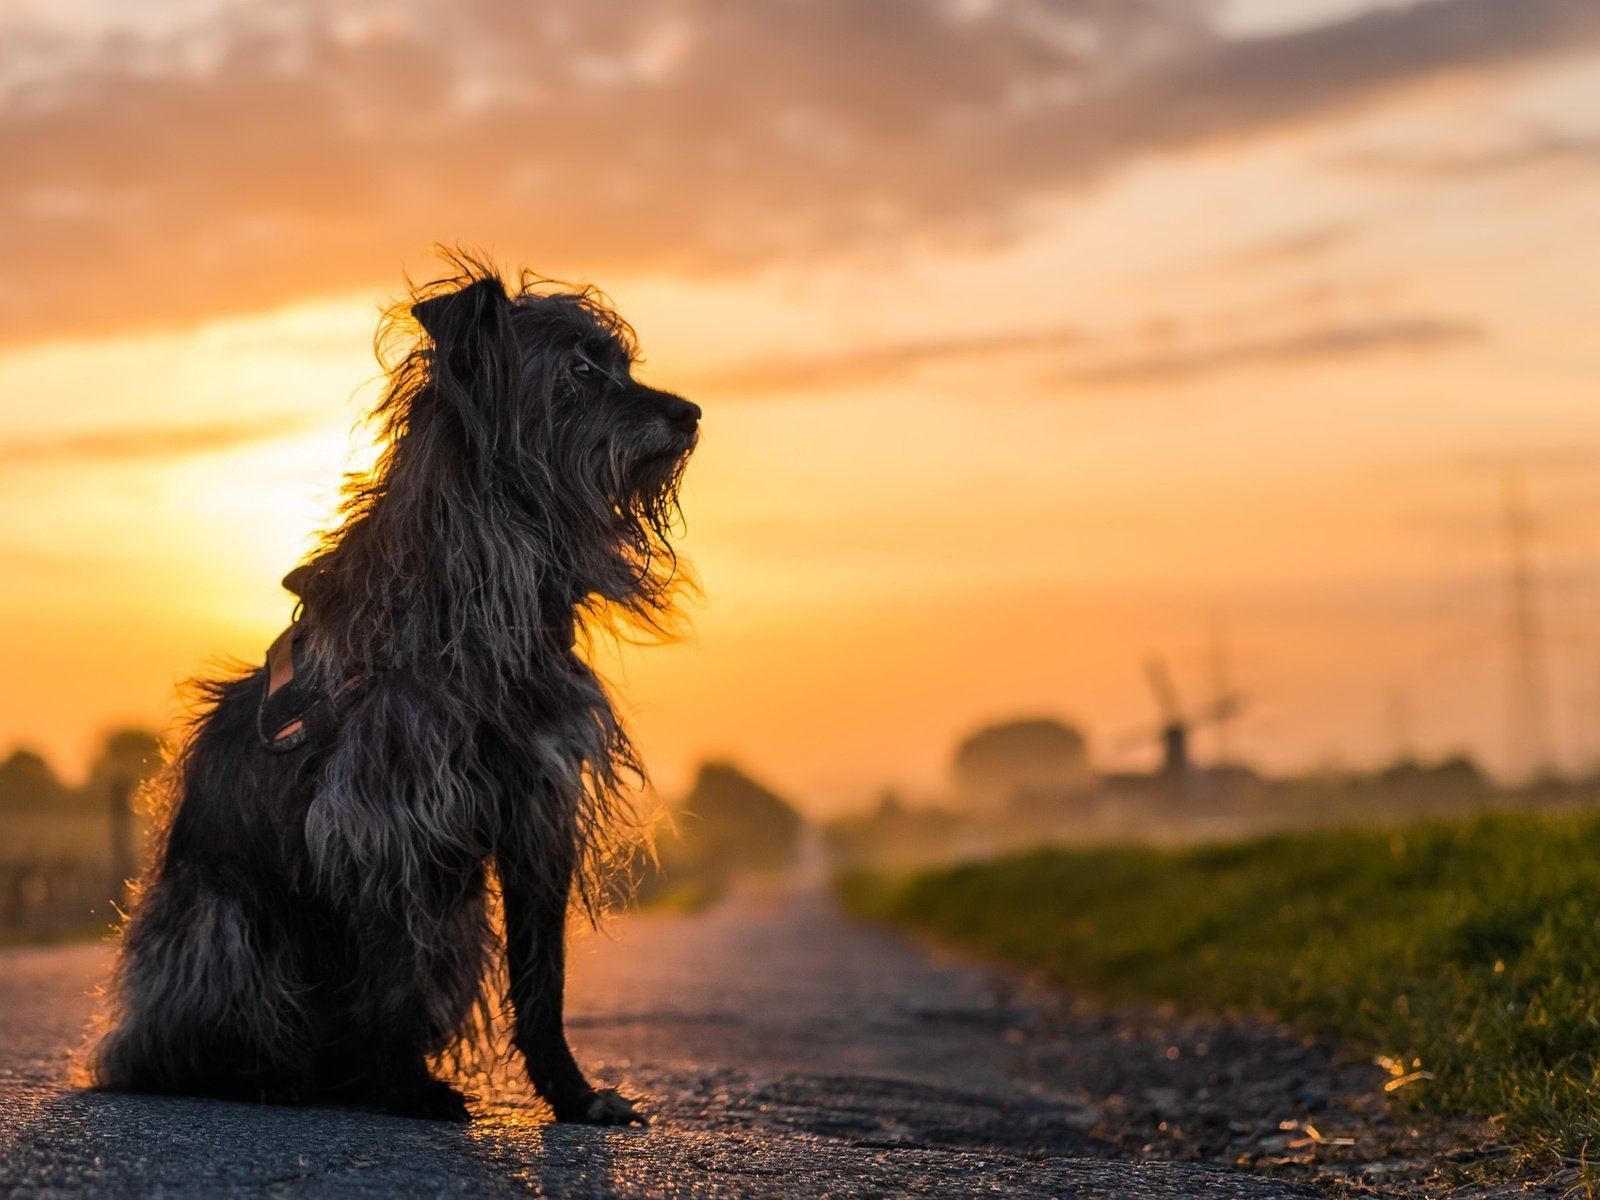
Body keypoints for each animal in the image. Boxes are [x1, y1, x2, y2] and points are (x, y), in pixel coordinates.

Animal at [90, 256, 697, 1126]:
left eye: (619, 364)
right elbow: (392, 972)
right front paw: (405, 1087)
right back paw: (266, 1074)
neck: (478, 613)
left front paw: (571, 1094)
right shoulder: (384, 820)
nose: (691, 414)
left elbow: (541, 982)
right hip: (224, 914)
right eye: (581, 373)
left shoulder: (536, 812)